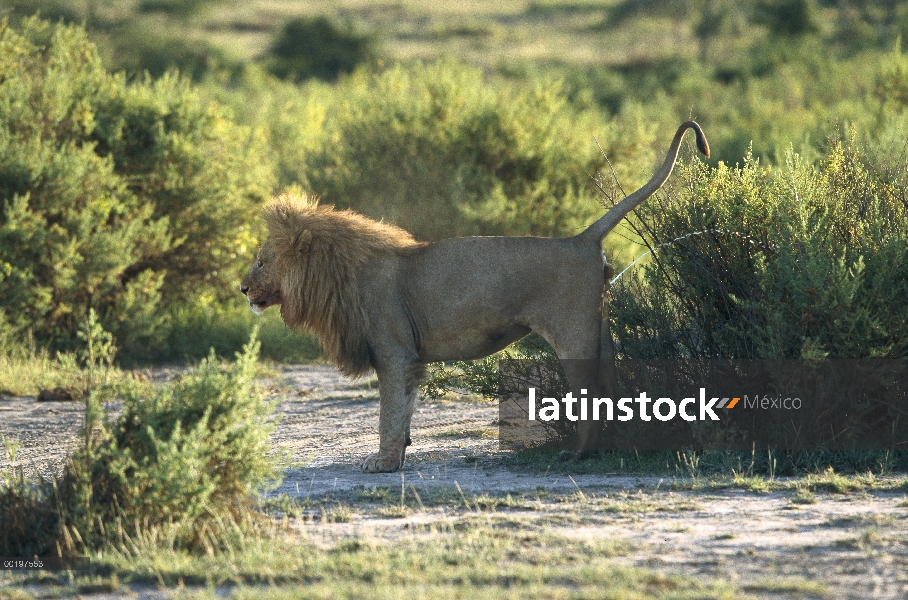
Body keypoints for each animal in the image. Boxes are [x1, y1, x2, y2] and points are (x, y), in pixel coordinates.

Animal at [243, 119, 708, 472]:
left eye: (262, 261)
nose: (242, 288)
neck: (339, 274)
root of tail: (581, 239)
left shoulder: (395, 353)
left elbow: (388, 413)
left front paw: (383, 463)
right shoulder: (407, 358)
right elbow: (405, 409)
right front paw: (400, 454)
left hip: (573, 333)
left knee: (591, 394)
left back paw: (577, 455)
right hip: (601, 331)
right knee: (613, 387)